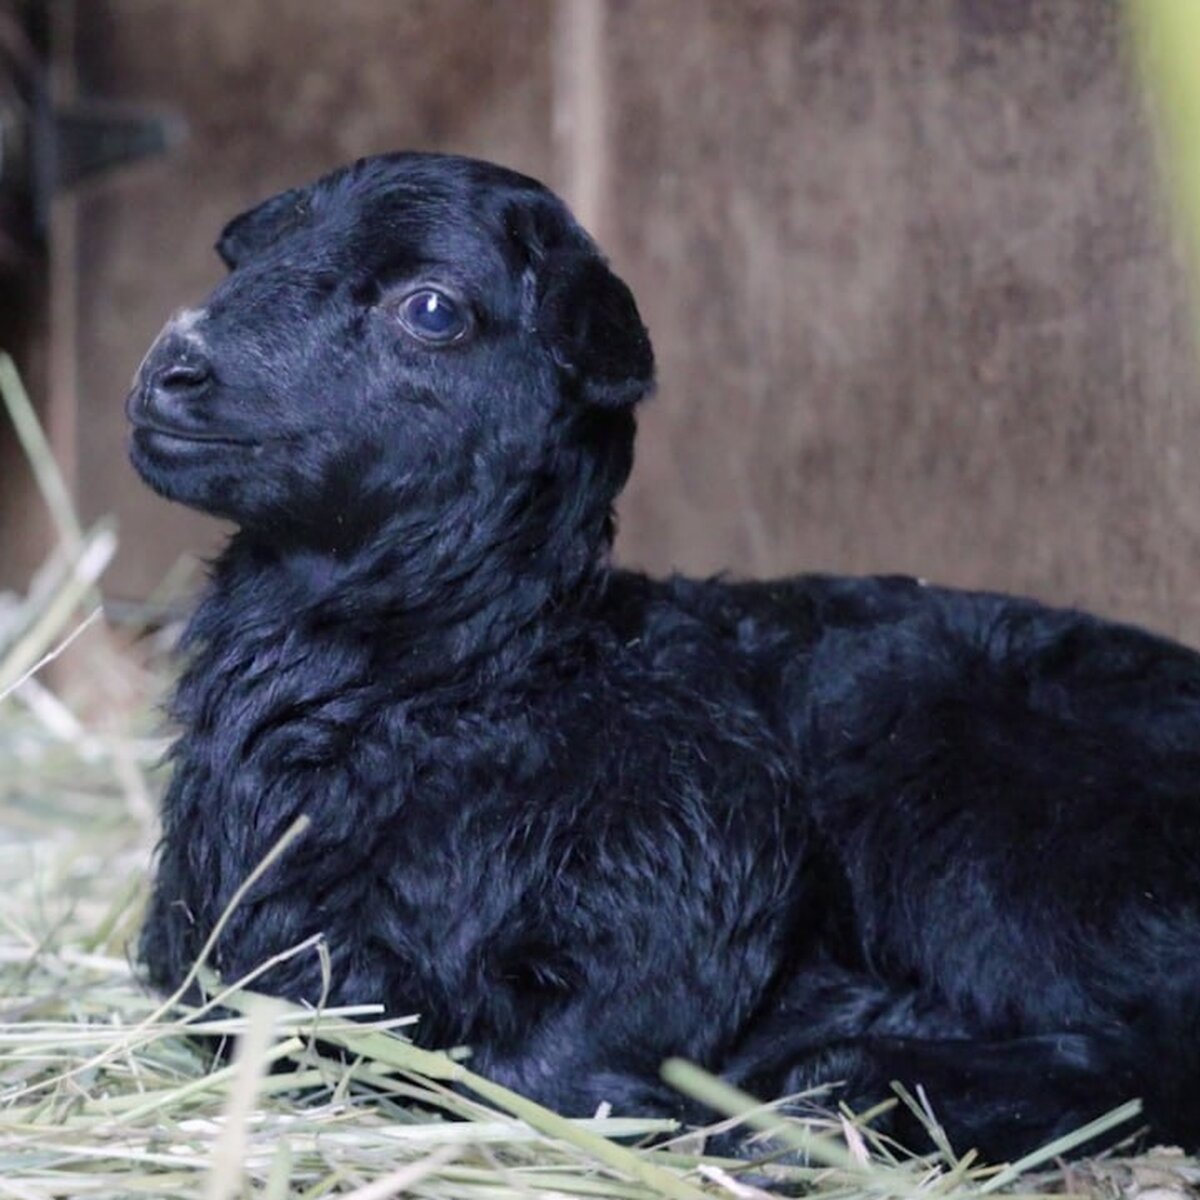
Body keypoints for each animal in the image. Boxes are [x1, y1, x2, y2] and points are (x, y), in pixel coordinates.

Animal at [126, 152, 1200, 1161]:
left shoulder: (712, 852)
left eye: (431, 309)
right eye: (250, 256)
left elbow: (544, 1072)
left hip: (990, 839)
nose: (172, 367)